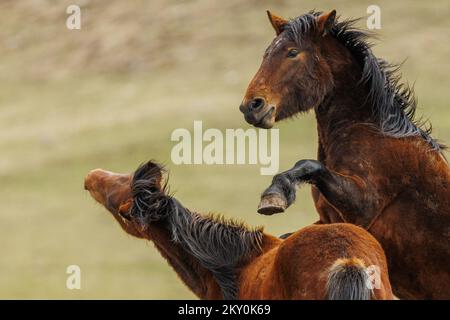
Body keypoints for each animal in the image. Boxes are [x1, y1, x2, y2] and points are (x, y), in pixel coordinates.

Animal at [241, 10, 450, 300]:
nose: (252, 107)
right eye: (267, 53)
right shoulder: (327, 219)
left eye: (293, 52)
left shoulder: (362, 206)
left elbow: (309, 165)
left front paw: (275, 195)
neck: (369, 132)